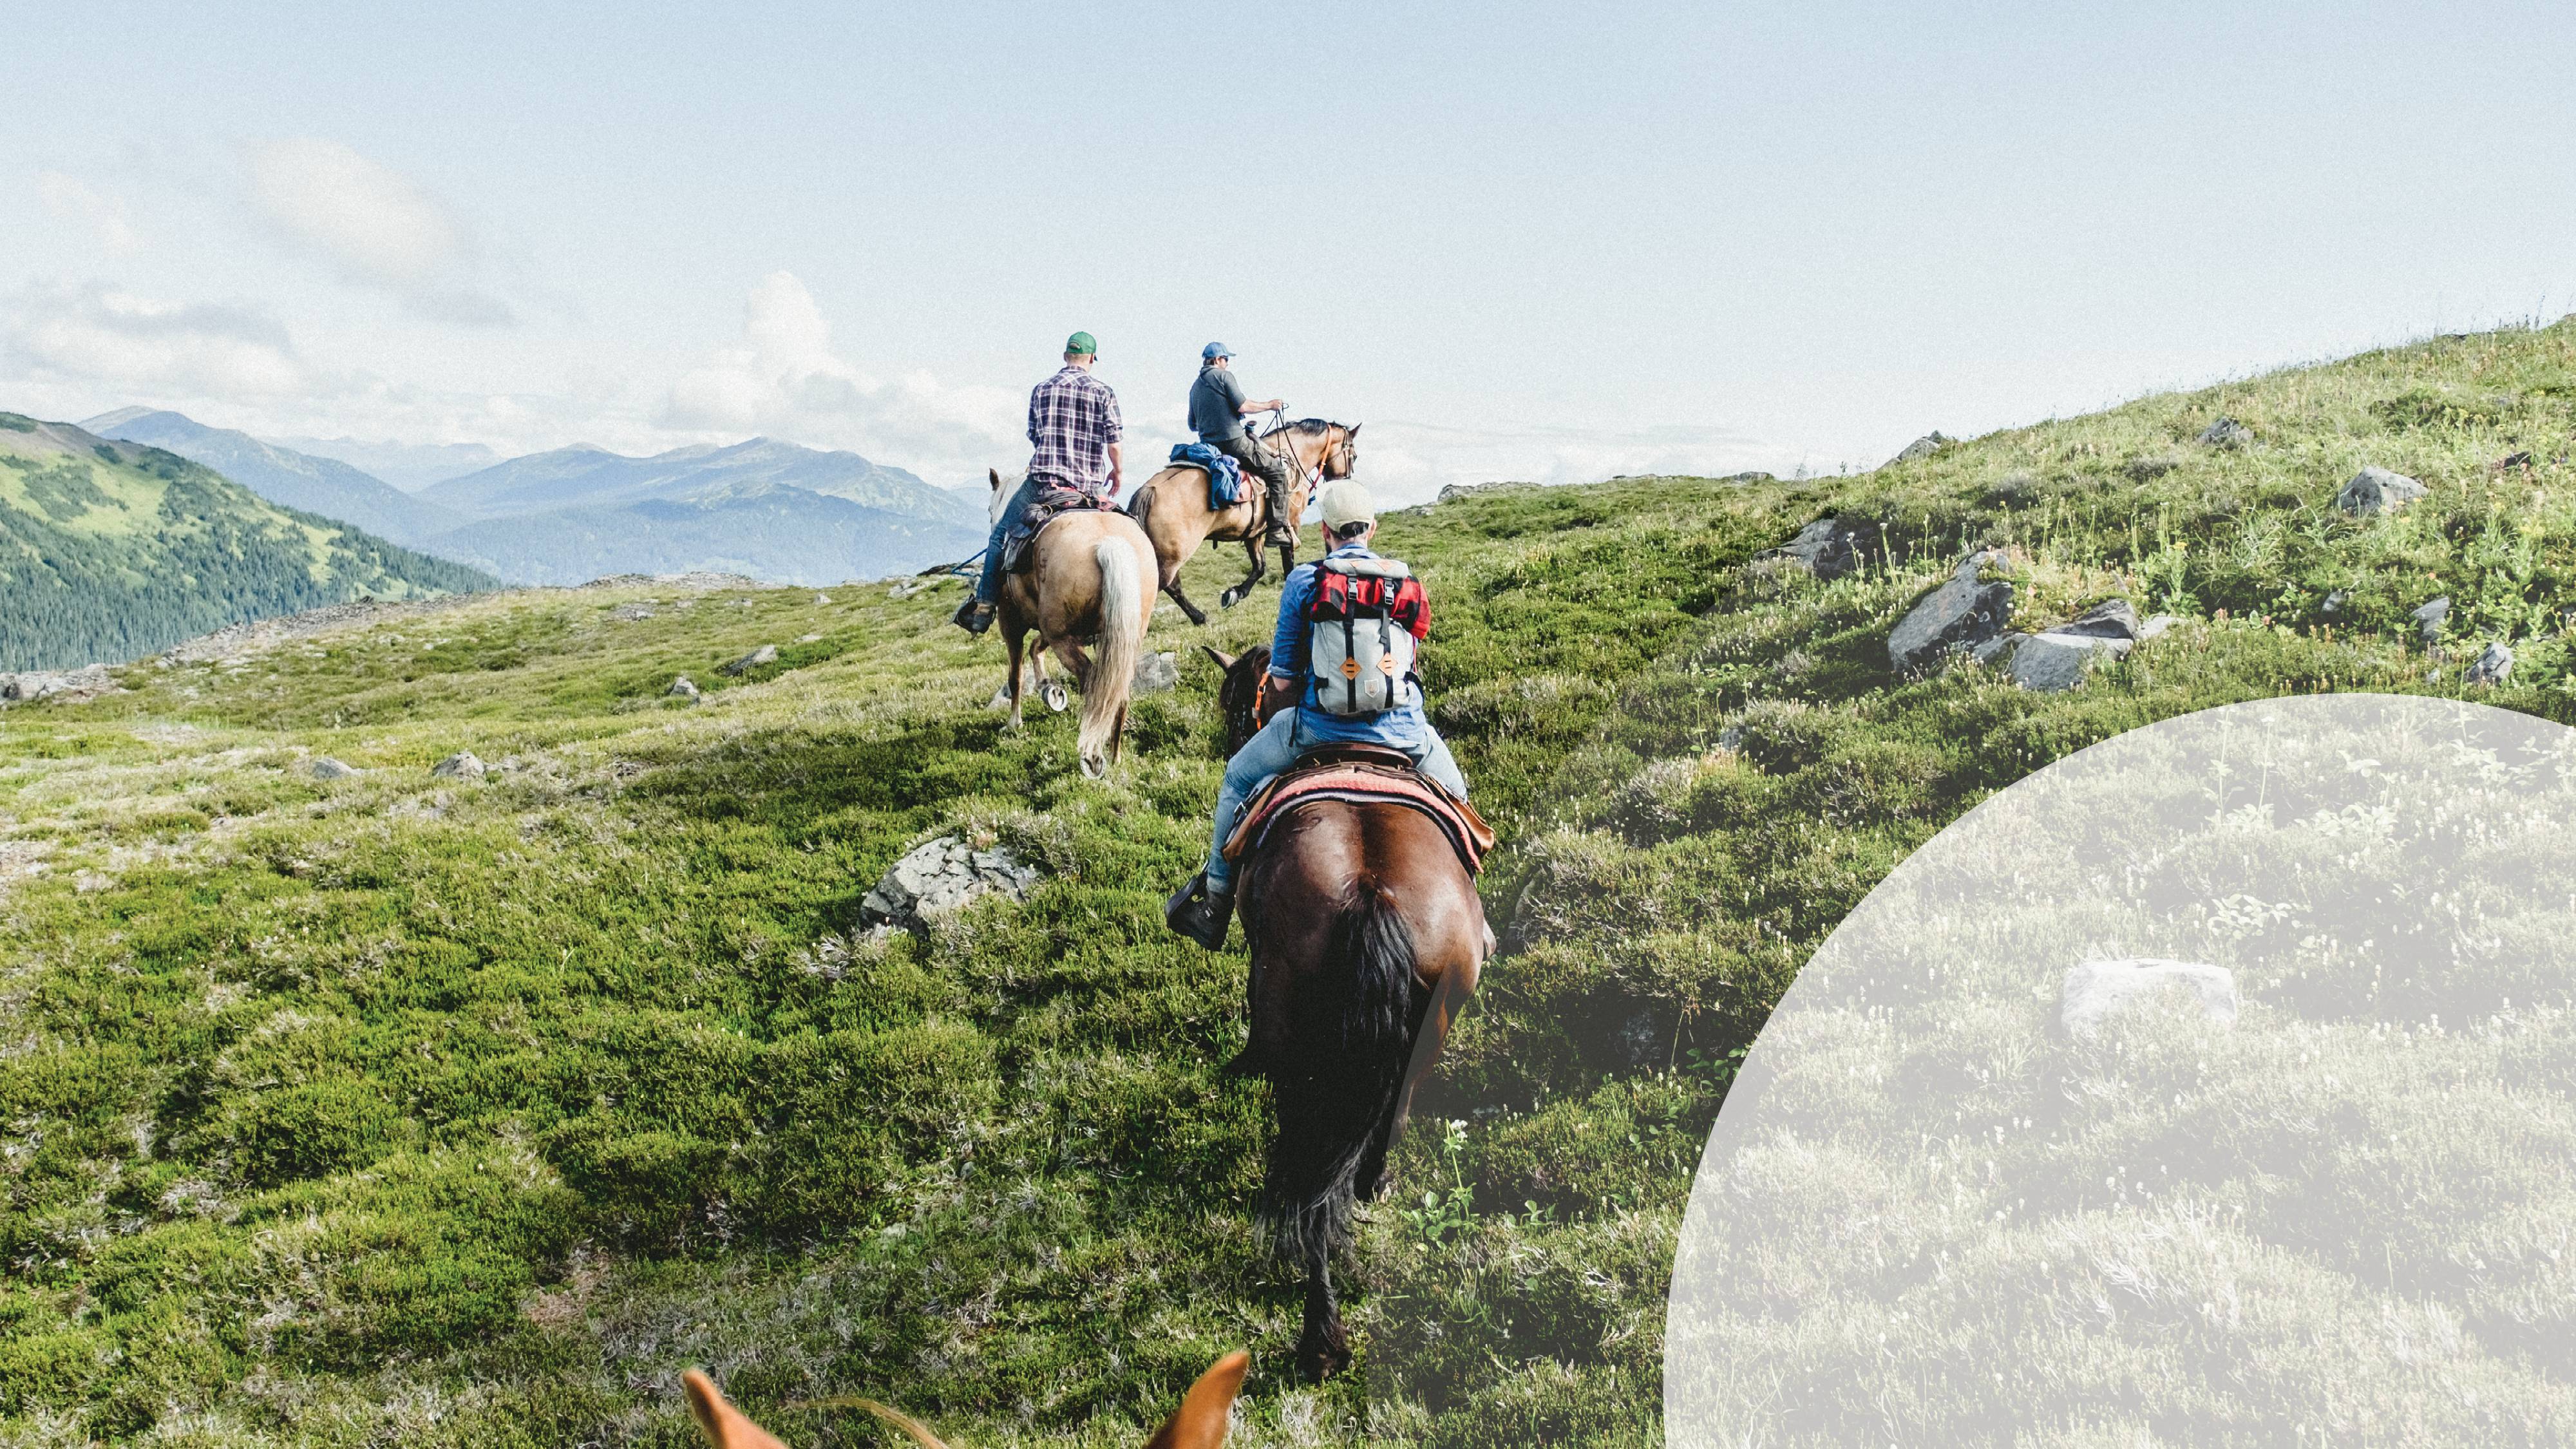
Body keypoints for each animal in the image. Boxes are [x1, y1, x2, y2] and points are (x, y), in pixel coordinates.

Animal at [988, 470, 1159, 778]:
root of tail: (1108, 543)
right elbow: (1036, 647)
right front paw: (1048, 688)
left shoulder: (1011, 622)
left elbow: (1015, 676)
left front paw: (1014, 723)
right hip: (1119, 636)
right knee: (1117, 689)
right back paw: (1114, 754)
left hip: (1062, 637)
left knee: (1093, 684)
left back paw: (1092, 755)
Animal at [1125, 419, 1361, 626]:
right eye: (1354, 455)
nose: (1345, 482)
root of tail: (1150, 490)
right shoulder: (1290, 525)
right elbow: (1288, 563)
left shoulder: (1253, 534)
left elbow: (1259, 567)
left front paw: (1235, 593)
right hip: (1173, 555)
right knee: (1165, 586)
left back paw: (1199, 618)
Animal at [1203, 644, 1489, 1381]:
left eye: (1234, 696)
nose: (1229, 741)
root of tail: (1370, 890)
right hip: (1430, 1028)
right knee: (1387, 1122)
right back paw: (1370, 1188)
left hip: (1295, 1039)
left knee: (1308, 1172)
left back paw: (1319, 1340)